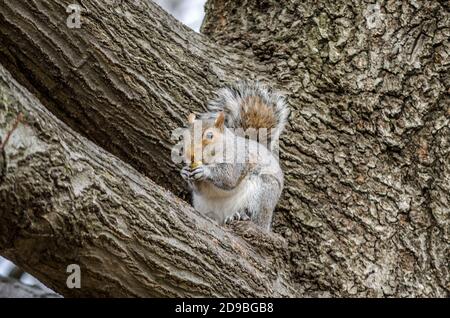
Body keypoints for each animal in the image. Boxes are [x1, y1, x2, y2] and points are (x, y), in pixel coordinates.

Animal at [179, 82, 288, 231]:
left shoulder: (239, 158)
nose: (189, 155)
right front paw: (184, 172)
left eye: (210, 136)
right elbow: (199, 189)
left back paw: (241, 215)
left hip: (263, 193)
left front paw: (205, 171)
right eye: (183, 136)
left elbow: (229, 177)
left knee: (256, 217)